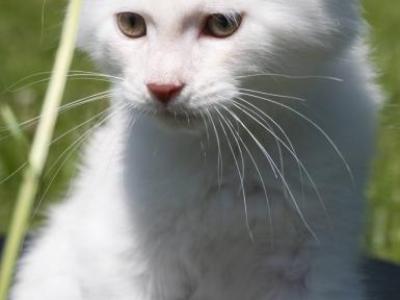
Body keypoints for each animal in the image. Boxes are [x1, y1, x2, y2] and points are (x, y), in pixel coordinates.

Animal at [10, 0, 378, 300]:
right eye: (131, 23)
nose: (162, 88)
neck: (224, 155)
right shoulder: (127, 257)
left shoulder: (313, 263)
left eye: (223, 24)